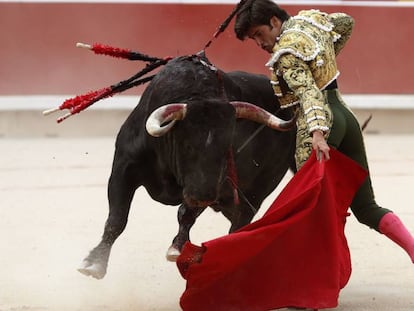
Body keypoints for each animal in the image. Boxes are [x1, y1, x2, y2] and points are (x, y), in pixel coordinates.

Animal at [78, 55, 298, 280]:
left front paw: (177, 248)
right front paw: (94, 263)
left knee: (239, 224)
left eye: (227, 147)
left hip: (253, 194)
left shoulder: (209, 185)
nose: (203, 196)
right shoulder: (123, 169)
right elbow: (116, 219)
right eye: (188, 145)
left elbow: (186, 213)